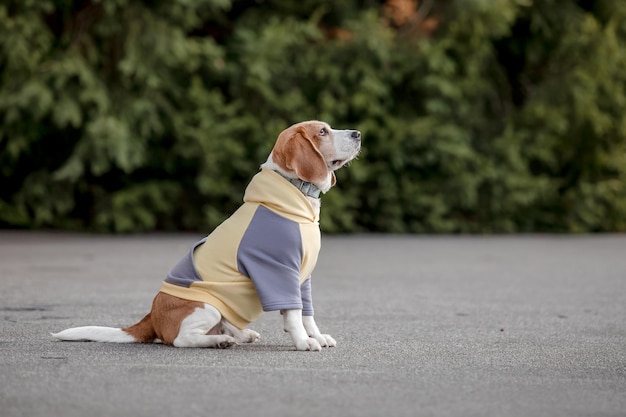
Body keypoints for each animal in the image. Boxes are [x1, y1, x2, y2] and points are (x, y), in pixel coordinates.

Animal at [52, 120, 360, 352]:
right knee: (181, 340)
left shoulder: (302, 278)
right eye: (322, 132)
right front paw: (303, 342)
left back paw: (239, 335)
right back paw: (219, 340)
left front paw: (315, 336)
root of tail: (151, 316)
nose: (358, 134)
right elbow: (294, 315)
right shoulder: (279, 271)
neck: (295, 191)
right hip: (207, 306)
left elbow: (307, 314)